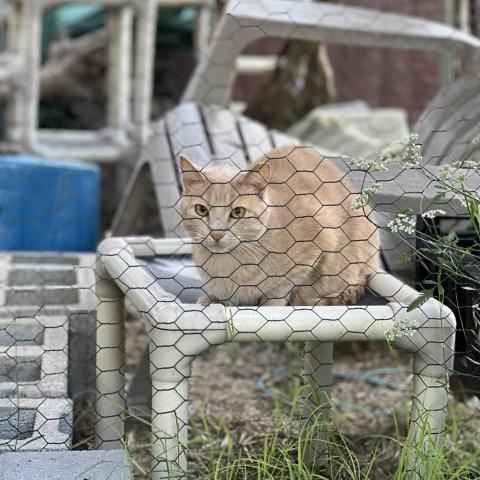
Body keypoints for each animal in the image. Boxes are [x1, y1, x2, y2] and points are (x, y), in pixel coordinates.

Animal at [178, 144, 380, 306]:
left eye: (238, 212)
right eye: (201, 210)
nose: (216, 233)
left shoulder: (319, 242)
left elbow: (283, 286)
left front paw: (271, 306)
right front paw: (212, 299)